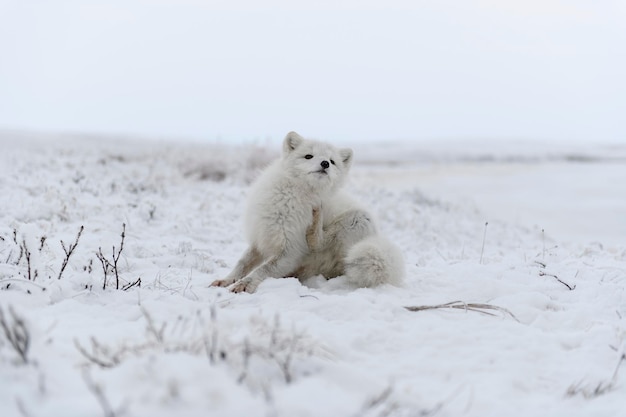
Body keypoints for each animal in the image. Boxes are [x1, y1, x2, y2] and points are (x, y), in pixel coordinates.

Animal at [211, 131, 404, 292]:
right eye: (308, 156)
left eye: (332, 161)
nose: (325, 164)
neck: (291, 198)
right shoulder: (262, 237)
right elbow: (242, 263)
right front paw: (227, 280)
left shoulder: (290, 251)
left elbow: (263, 269)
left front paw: (244, 284)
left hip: (361, 219)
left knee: (320, 244)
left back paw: (315, 225)